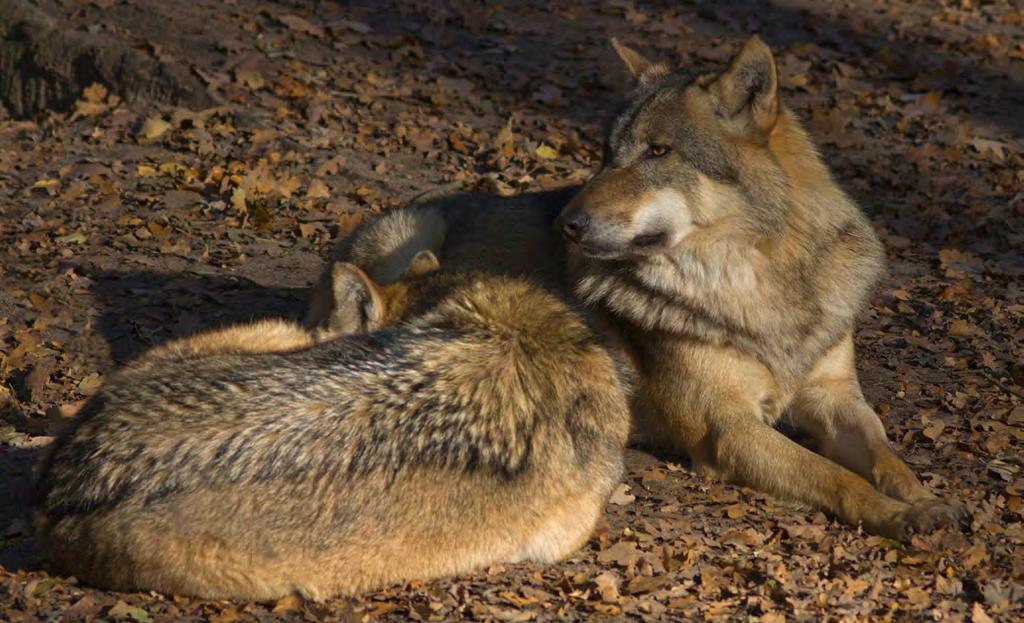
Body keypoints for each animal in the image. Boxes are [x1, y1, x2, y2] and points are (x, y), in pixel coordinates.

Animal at [321, 35, 966, 541]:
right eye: (607, 154)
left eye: (658, 151)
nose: (566, 224)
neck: (757, 289)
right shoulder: (728, 429)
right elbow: (833, 476)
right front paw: (896, 516)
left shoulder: (836, 399)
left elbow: (887, 456)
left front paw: (928, 503)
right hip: (416, 236)